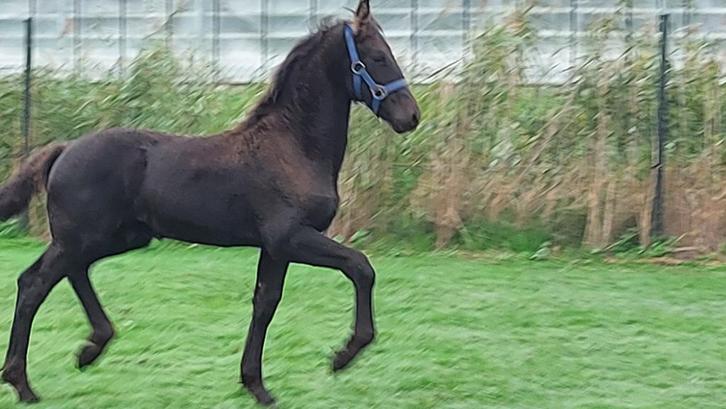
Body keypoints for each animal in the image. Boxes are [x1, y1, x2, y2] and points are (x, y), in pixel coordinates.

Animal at [0, 0, 420, 405]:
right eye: (378, 57)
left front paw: (257, 386)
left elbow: (265, 303)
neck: (293, 146)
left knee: (66, 273)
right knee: (35, 283)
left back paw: (89, 348)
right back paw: (24, 382)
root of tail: (64, 149)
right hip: (84, 237)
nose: (411, 116)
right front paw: (342, 355)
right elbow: (360, 267)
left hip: (115, 238)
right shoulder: (290, 237)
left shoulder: (275, 248)